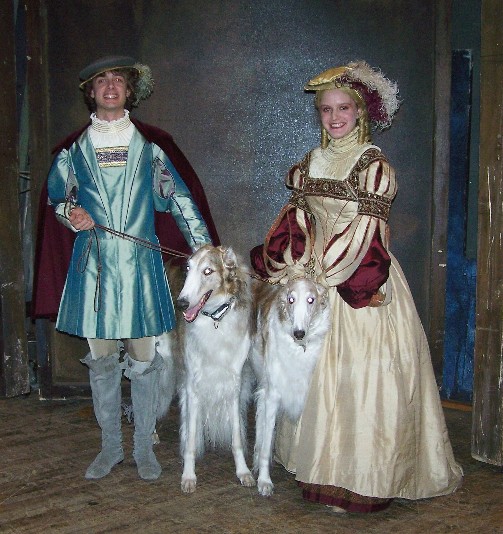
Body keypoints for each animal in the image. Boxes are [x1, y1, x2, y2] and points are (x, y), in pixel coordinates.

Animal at [159, 246, 256, 494]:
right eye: (188, 268)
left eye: (208, 271)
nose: (181, 303)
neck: (215, 321)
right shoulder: (193, 386)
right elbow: (191, 440)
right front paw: (188, 476)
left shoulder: (233, 385)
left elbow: (236, 438)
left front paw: (244, 472)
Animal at [251, 278, 330, 500]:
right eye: (291, 299)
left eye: (311, 300)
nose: (299, 333)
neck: (298, 349)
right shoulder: (272, 395)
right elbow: (266, 443)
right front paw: (264, 482)